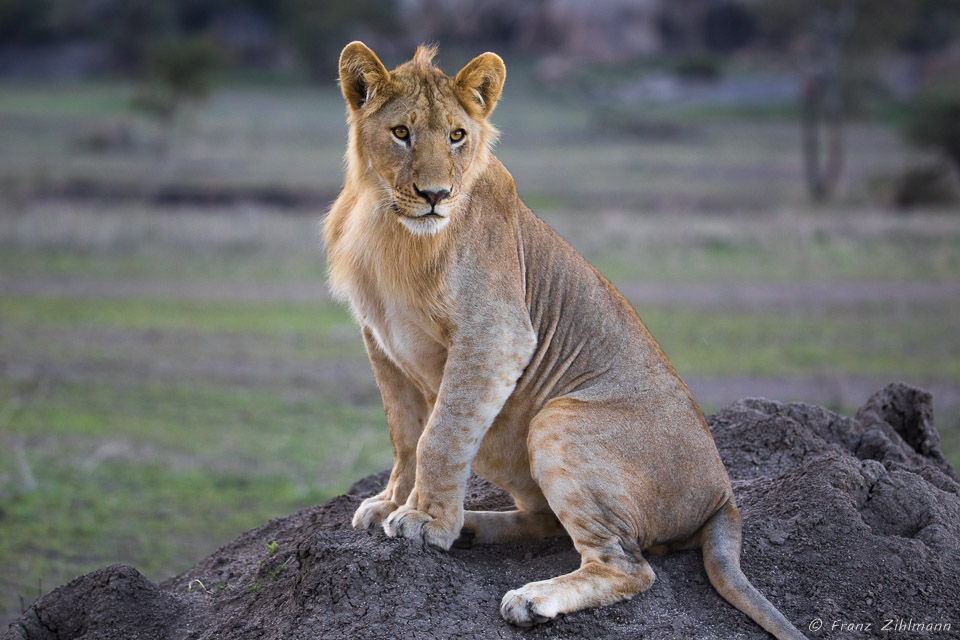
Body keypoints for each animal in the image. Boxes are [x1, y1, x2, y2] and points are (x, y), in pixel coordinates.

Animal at [324, 41, 808, 640]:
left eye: (457, 135)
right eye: (401, 133)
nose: (436, 195)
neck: (388, 223)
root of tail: (725, 496)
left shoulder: (496, 332)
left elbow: (439, 436)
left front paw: (423, 521)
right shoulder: (381, 340)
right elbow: (404, 433)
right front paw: (392, 504)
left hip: (558, 418)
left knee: (628, 565)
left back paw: (531, 597)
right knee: (548, 523)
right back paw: (471, 529)